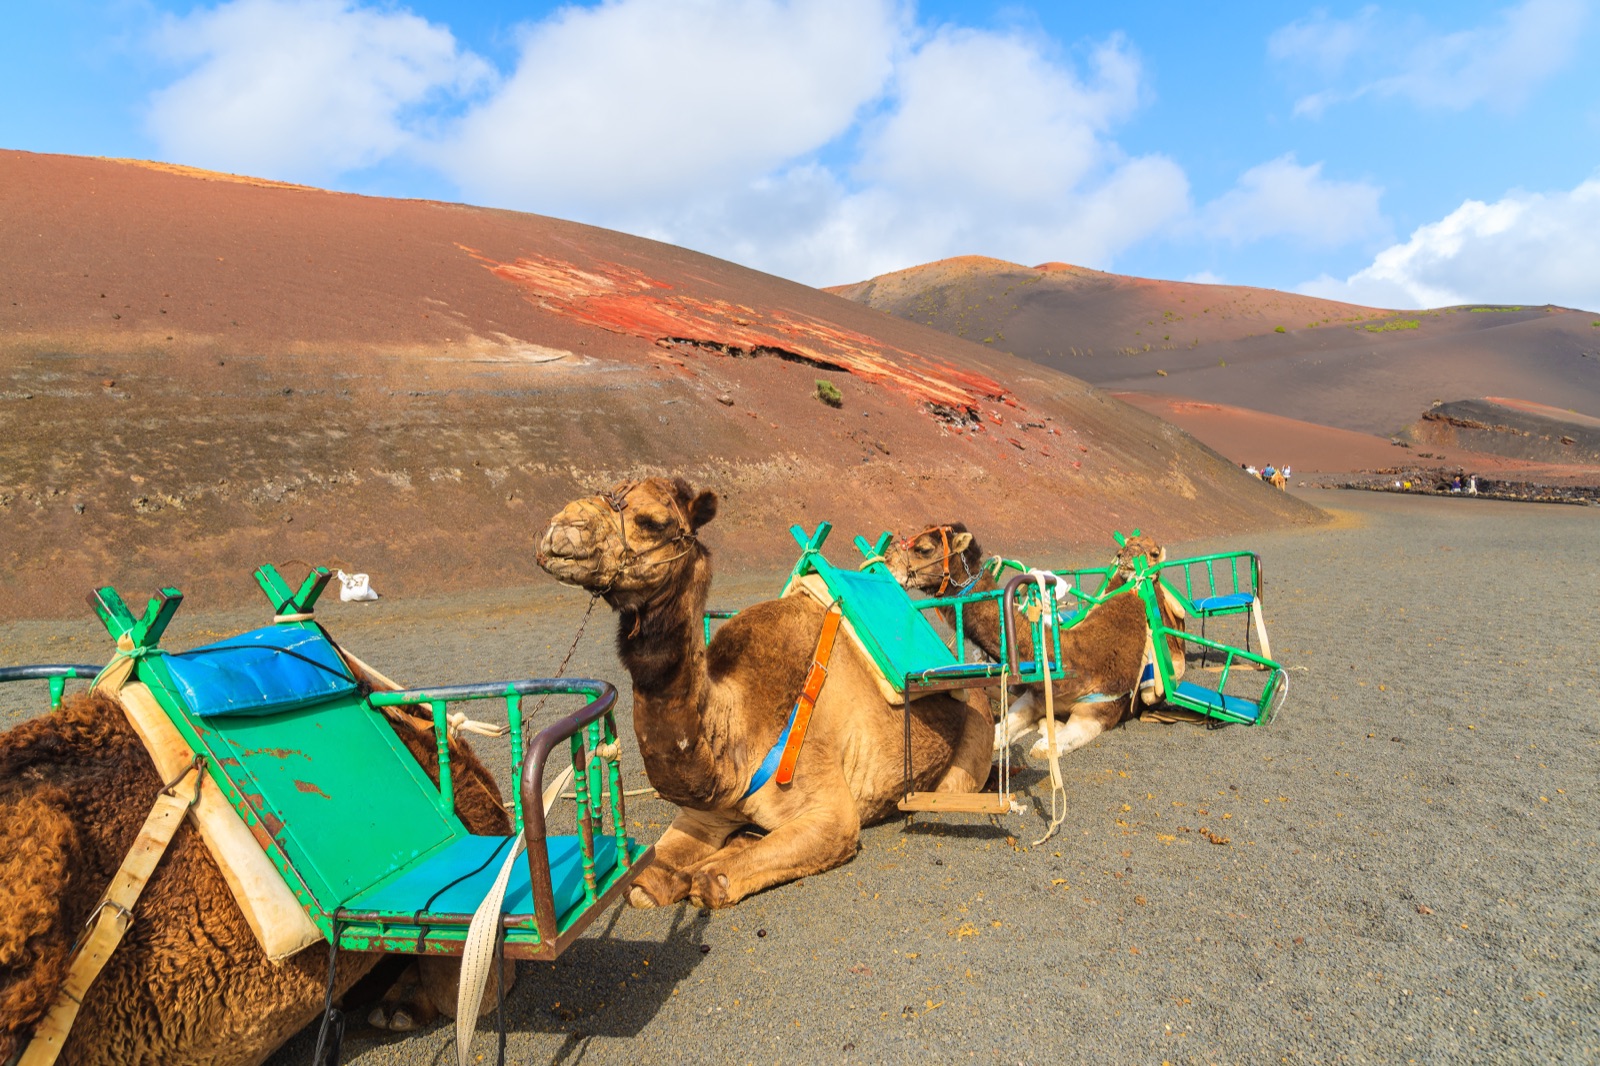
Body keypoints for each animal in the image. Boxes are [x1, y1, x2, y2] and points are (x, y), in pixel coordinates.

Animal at [535, 477, 993, 909]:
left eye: (653, 522)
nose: (561, 529)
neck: (738, 734)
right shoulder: (702, 816)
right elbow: (644, 884)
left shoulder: (833, 816)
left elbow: (712, 882)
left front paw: (708, 871)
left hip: (964, 767)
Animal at [886, 524, 1187, 759]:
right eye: (1120, 549)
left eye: (923, 549)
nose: (887, 560)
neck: (1079, 657)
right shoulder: (1035, 695)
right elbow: (999, 733)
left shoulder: (1098, 711)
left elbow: (1043, 748)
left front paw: (1044, 732)